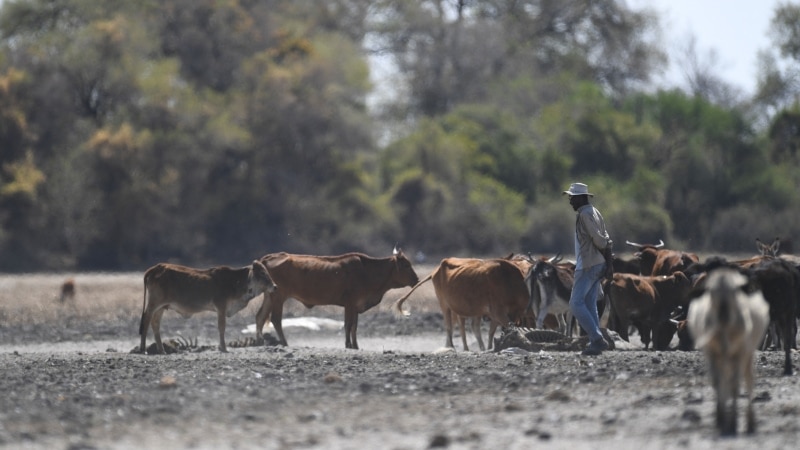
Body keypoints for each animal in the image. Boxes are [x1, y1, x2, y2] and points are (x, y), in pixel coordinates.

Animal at [138, 260, 276, 356]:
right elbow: (221, 327)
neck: (235, 282)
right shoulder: (221, 307)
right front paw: (223, 348)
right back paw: (143, 349)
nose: (274, 286)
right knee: (146, 319)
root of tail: (156, 267)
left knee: (155, 323)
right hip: (154, 303)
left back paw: (161, 350)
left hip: (161, 307)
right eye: (262, 273)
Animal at [256, 248, 418, 350]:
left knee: (260, 316)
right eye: (406, 265)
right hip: (279, 296)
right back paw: (284, 343)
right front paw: (348, 345)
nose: (416, 279)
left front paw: (356, 345)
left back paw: (259, 341)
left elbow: (354, 326)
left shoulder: (356, 305)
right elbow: (348, 325)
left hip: (270, 296)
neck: (367, 272)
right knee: (275, 319)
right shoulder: (350, 303)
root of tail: (268, 257)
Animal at [392, 256, 532, 352]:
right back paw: (453, 347)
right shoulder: (497, 312)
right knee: (450, 327)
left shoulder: (510, 314)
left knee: (469, 327)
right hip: (445, 304)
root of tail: (437, 269)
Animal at [684, 268, 772, 436]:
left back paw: (750, 422)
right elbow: (718, 382)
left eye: (735, 291)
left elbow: (735, 385)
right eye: (711, 292)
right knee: (726, 378)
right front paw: (721, 419)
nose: (723, 315)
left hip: (747, 354)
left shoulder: (740, 352)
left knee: (748, 379)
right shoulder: (711, 353)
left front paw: (733, 423)